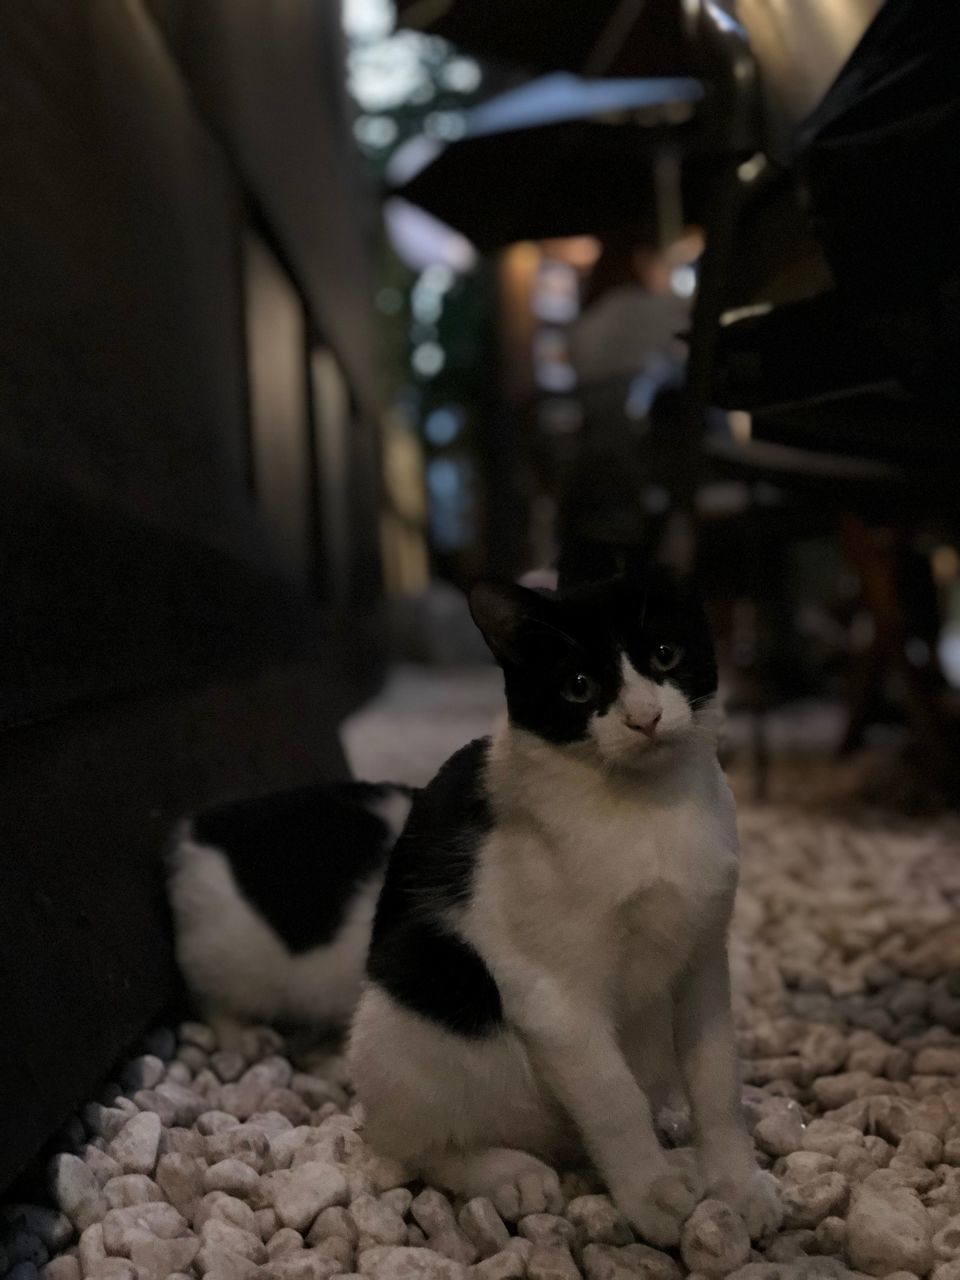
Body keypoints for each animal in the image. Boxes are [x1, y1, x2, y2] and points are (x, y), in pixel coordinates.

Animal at [350, 573, 783, 1249]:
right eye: (578, 686)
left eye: (665, 653)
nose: (644, 718)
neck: (646, 812)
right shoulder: (551, 995)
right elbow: (612, 1097)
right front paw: (652, 1195)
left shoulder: (705, 960)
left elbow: (718, 1084)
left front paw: (737, 1184)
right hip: (415, 997)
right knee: (413, 1142)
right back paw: (509, 1174)